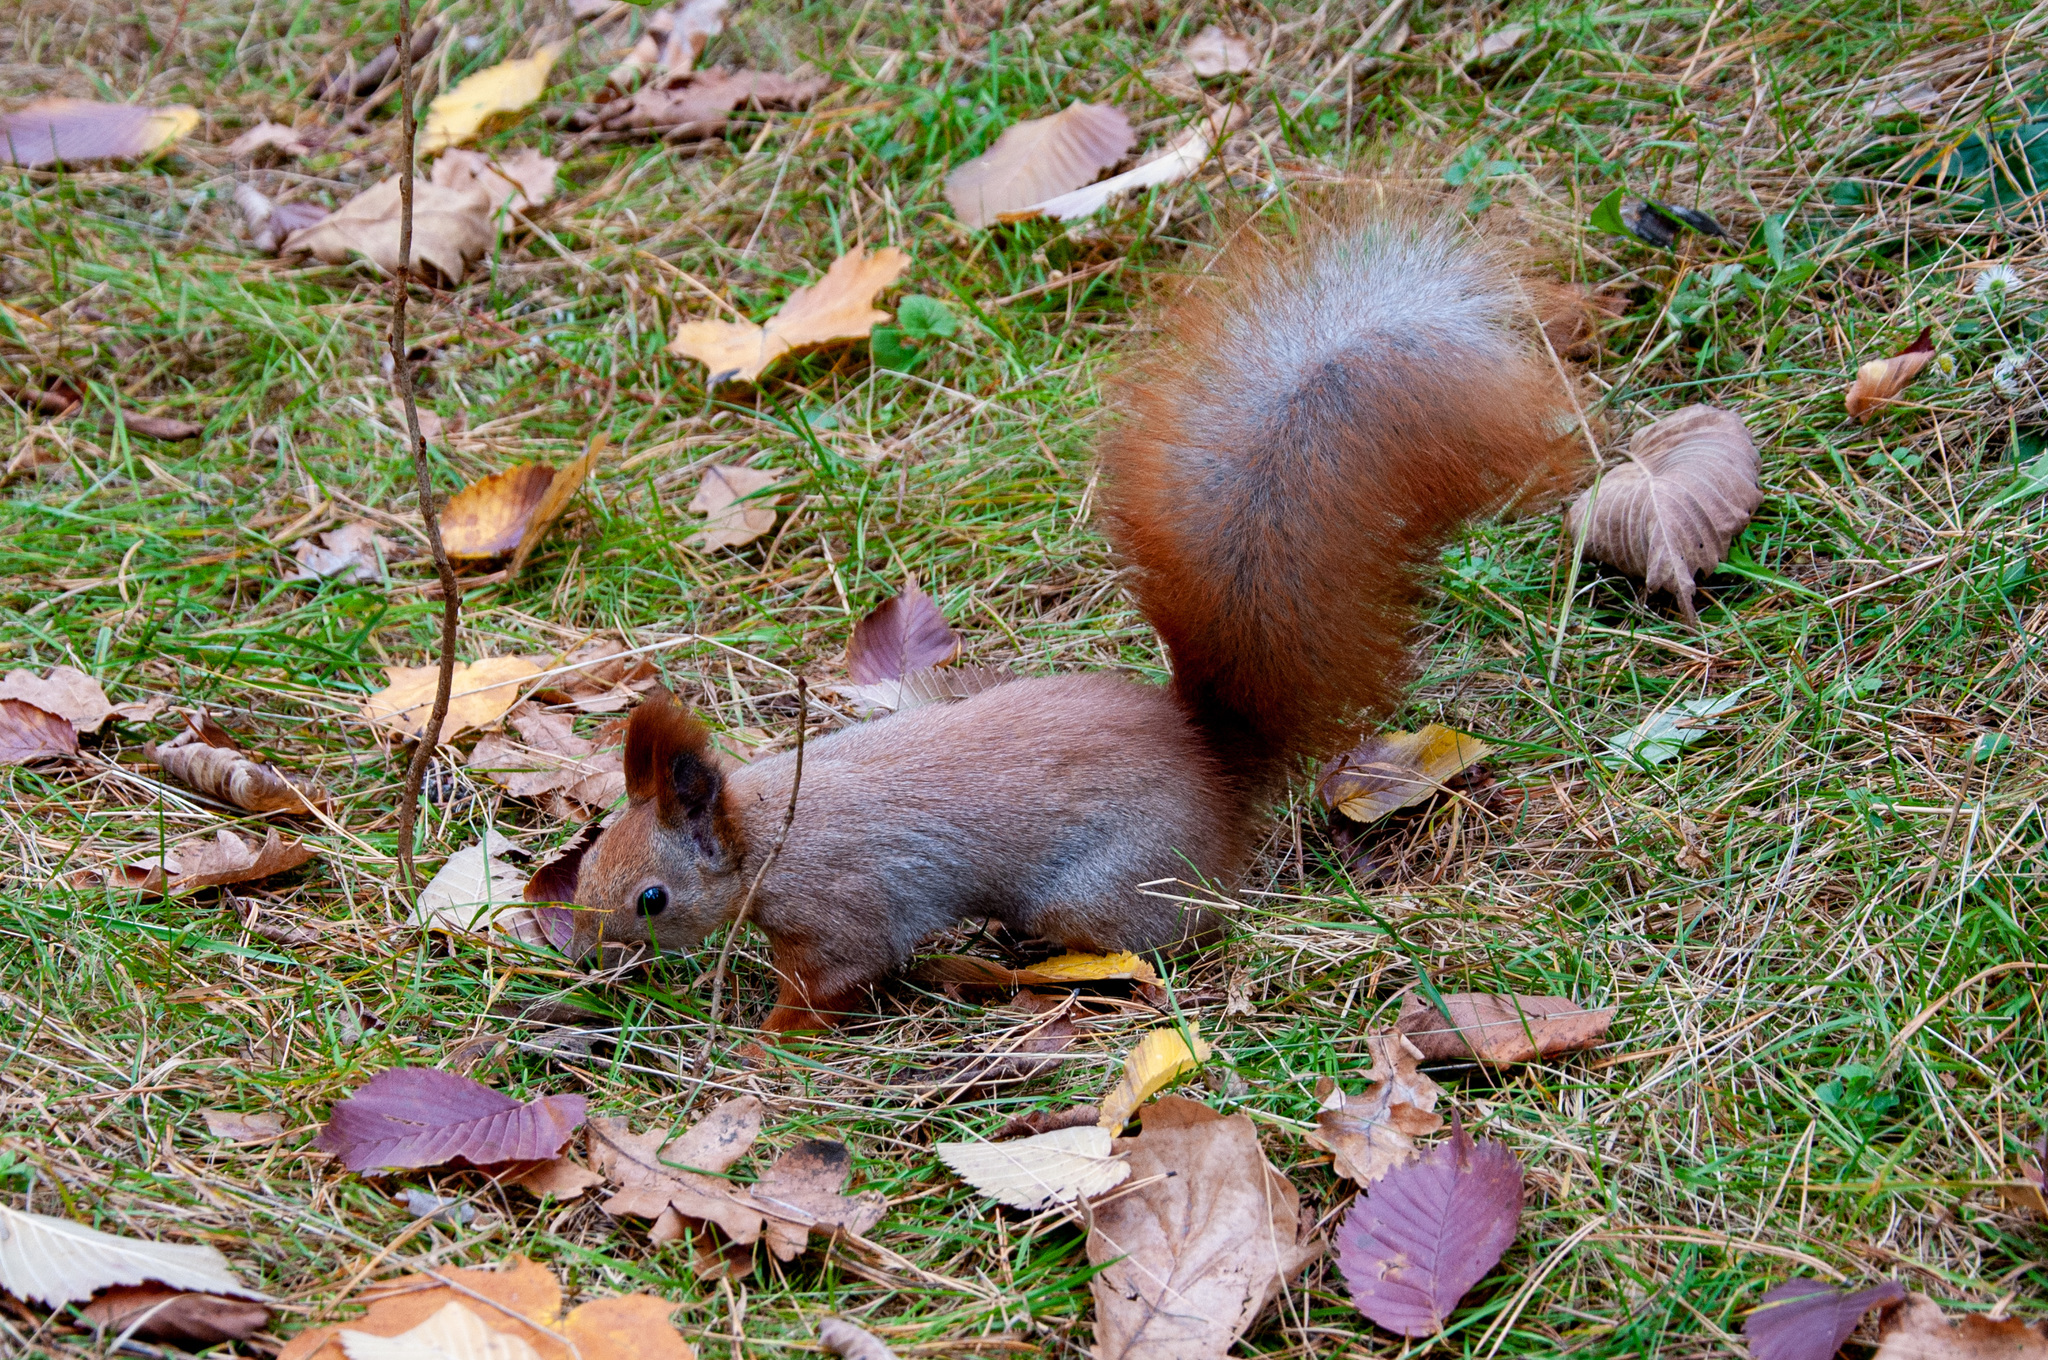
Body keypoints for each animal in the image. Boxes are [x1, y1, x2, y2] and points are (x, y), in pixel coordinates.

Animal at [528, 209, 1581, 1032]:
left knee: (1176, 927)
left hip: (1104, 889)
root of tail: (1211, 759)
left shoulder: (845, 908)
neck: (765, 832)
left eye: (653, 897)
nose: (582, 949)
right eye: (595, 854)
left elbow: (836, 976)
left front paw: (774, 1037)